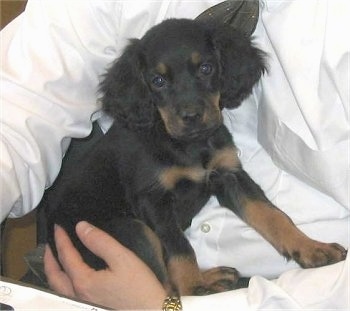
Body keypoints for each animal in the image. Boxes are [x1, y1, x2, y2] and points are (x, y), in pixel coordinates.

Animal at [47, 18, 348, 296]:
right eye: (157, 81)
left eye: (206, 68)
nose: (191, 116)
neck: (189, 145)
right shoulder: (153, 199)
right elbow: (179, 247)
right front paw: (193, 287)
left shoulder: (228, 174)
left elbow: (273, 215)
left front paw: (310, 247)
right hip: (130, 228)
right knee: (165, 283)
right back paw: (206, 282)